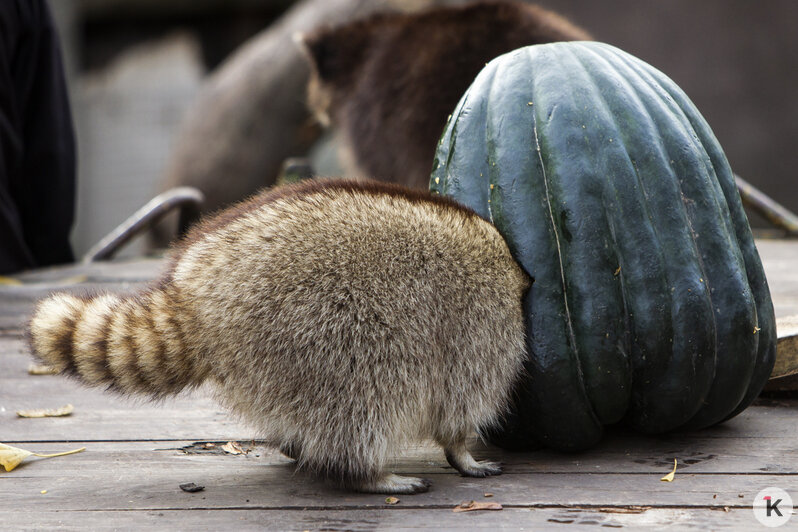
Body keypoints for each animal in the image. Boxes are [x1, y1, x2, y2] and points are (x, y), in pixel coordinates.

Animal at [28, 180, 532, 494]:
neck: (509, 266)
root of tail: (194, 291)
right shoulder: (479, 325)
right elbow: (460, 399)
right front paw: (461, 451)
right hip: (323, 328)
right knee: (370, 396)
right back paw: (363, 472)